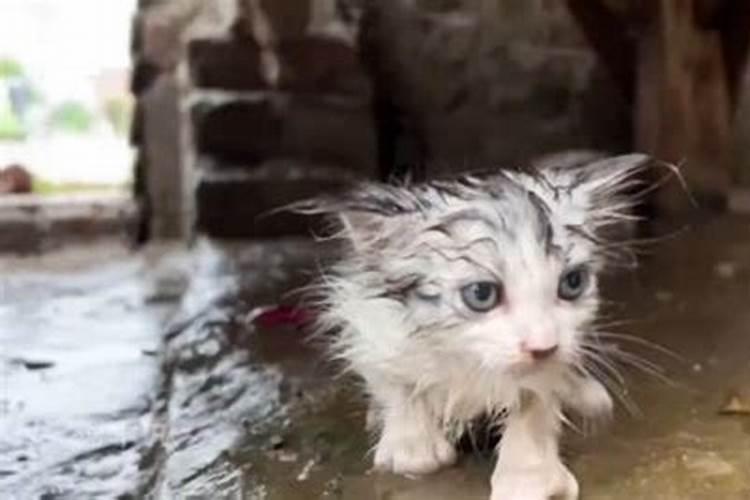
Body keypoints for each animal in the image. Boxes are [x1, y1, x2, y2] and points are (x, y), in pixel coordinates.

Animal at [306, 154, 652, 498]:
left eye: (573, 283)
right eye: (482, 294)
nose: (543, 347)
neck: (469, 361)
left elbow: (535, 397)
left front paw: (527, 475)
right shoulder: (371, 319)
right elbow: (393, 378)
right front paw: (413, 443)